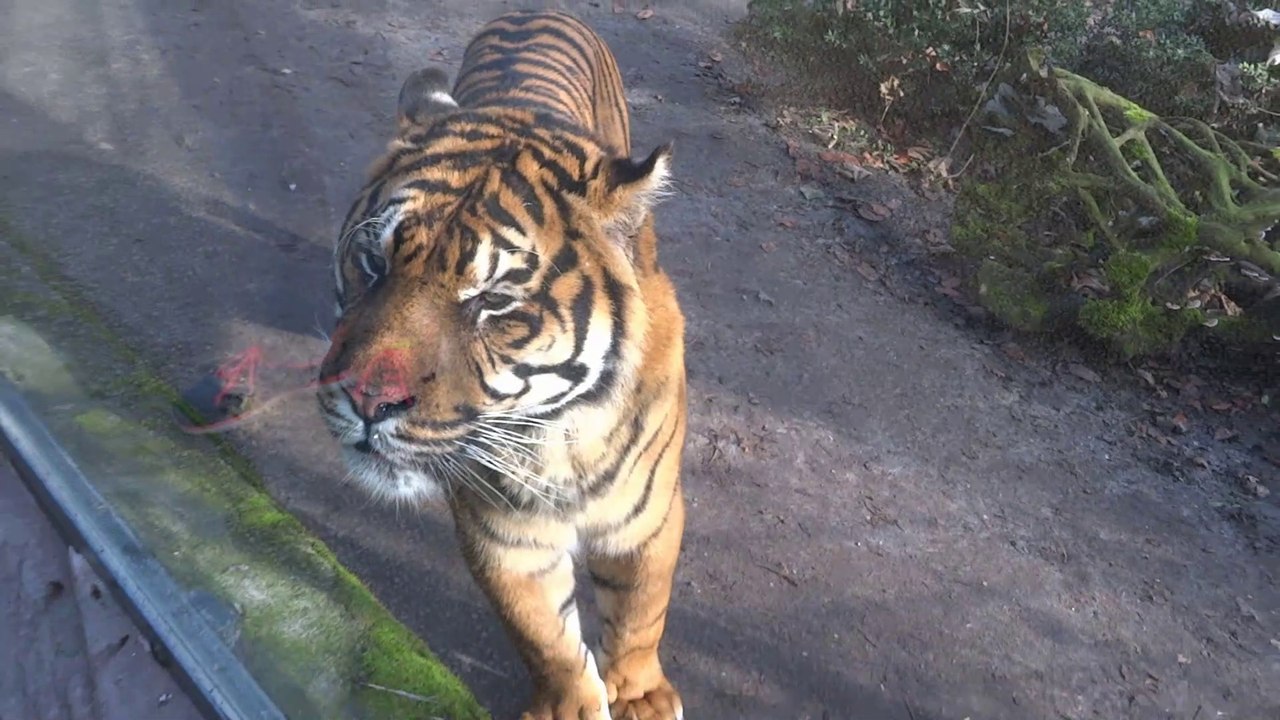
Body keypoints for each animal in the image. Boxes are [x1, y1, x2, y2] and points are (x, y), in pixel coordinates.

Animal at [316, 10, 688, 720]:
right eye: (373, 263)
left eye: (492, 301)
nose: (367, 400)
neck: (561, 439)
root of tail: (540, 9)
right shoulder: (506, 534)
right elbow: (545, 636)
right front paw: (574, 706)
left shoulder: (647, 518)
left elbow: (640, 615)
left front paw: (641, 696)